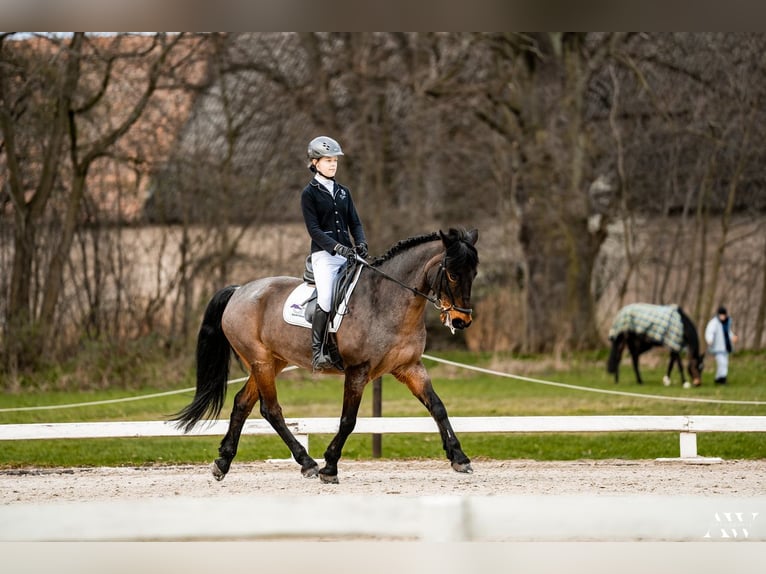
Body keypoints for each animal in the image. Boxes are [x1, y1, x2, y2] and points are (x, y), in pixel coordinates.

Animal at [174, 230, 480, 486]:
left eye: (474, 273)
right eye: (453, 275)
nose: (461, 321)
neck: (388, 300)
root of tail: (240, 290)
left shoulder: (410, 367)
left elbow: (438, 407)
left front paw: (459, 458)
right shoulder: (358, 371)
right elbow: (348, 420)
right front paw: (329, 467)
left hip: (271, 362)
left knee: (242, 404)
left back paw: (223, 462)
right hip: (260, 361)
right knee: (270, 409)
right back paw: (308, 463)